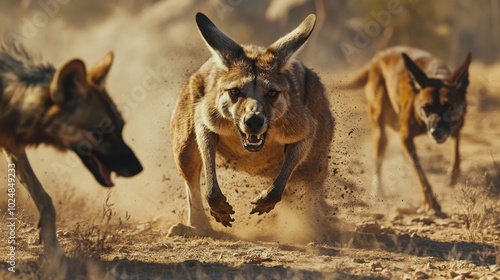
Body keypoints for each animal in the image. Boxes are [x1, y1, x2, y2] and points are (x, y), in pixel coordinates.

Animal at [0, 41, 143, 258]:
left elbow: (46, 201)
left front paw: (53, 250)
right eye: (99, 133)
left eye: (121, 127)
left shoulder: (13, 146)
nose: (137, 168)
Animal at [170, 13, 334, 236]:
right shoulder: (206, 115)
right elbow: (206, 153)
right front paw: (221, 210)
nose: (254, 121)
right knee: (188, 165)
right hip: (186, 123)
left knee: (311, 185)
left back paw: (317, 227)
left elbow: (297, 153)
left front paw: (265, 201)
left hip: (319, 139)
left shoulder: (303, 124)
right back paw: (195, 227)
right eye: (235, 91)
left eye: (272, 93)